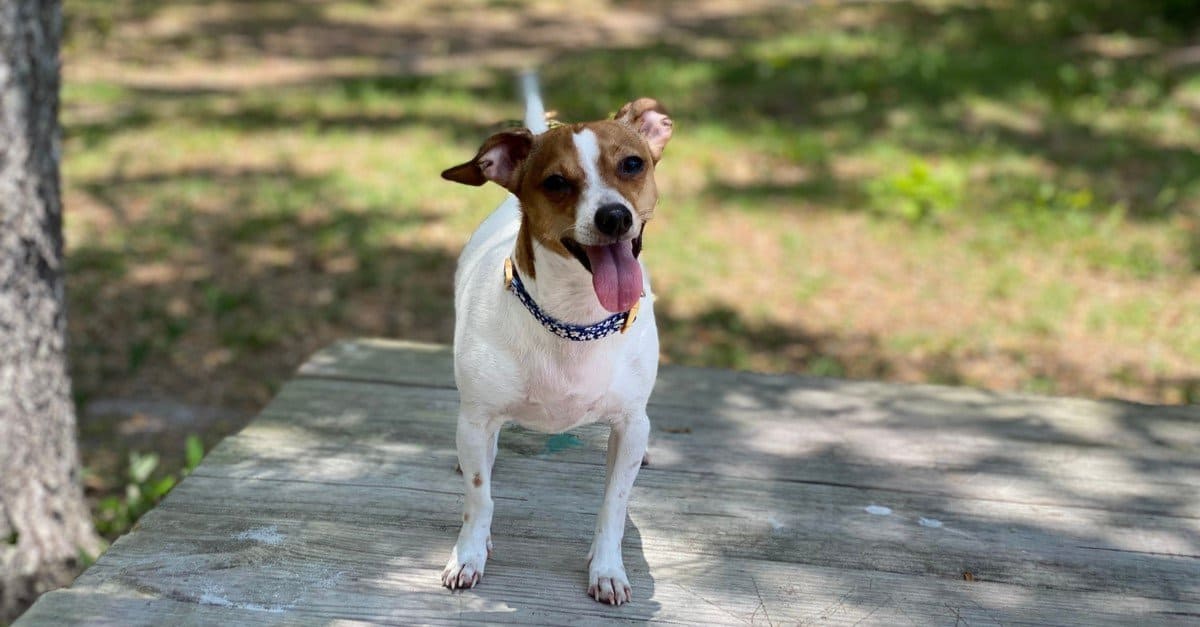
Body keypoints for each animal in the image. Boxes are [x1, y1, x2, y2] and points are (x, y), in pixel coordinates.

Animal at [439, 74, 676, 605]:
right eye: (556, 183)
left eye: (633, 164)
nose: (614, 216)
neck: (575, 321)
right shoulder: (478, 419)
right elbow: (479, 499)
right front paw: (469, 554)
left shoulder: (628, 426)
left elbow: (614, 505)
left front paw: (607, 569)